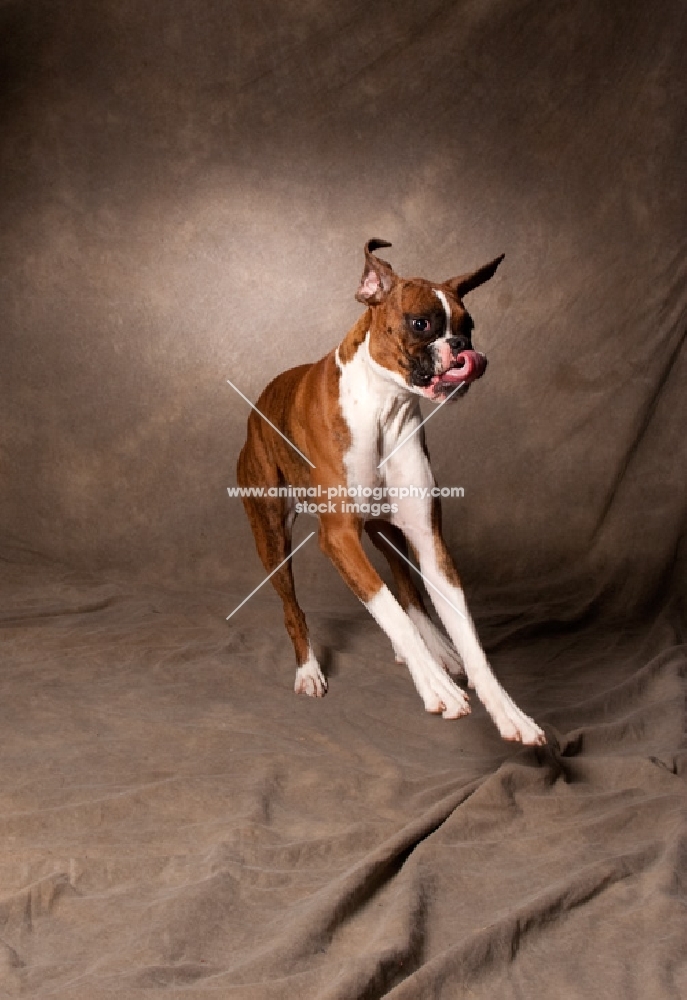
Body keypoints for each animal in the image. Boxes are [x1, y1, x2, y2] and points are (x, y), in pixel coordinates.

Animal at [239, 240, 544, 744]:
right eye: (421, 323)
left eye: (469, 326)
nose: (462, 348)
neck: (385, 405)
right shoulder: (340, 538)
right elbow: (388, 610)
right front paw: (437, 687)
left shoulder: (428, 539)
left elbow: (462, 633)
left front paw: (506, 710)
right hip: (271, 537)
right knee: (293, 607)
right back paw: (310, 670)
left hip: (390, 530)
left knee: (407, 585)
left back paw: (437, 648)